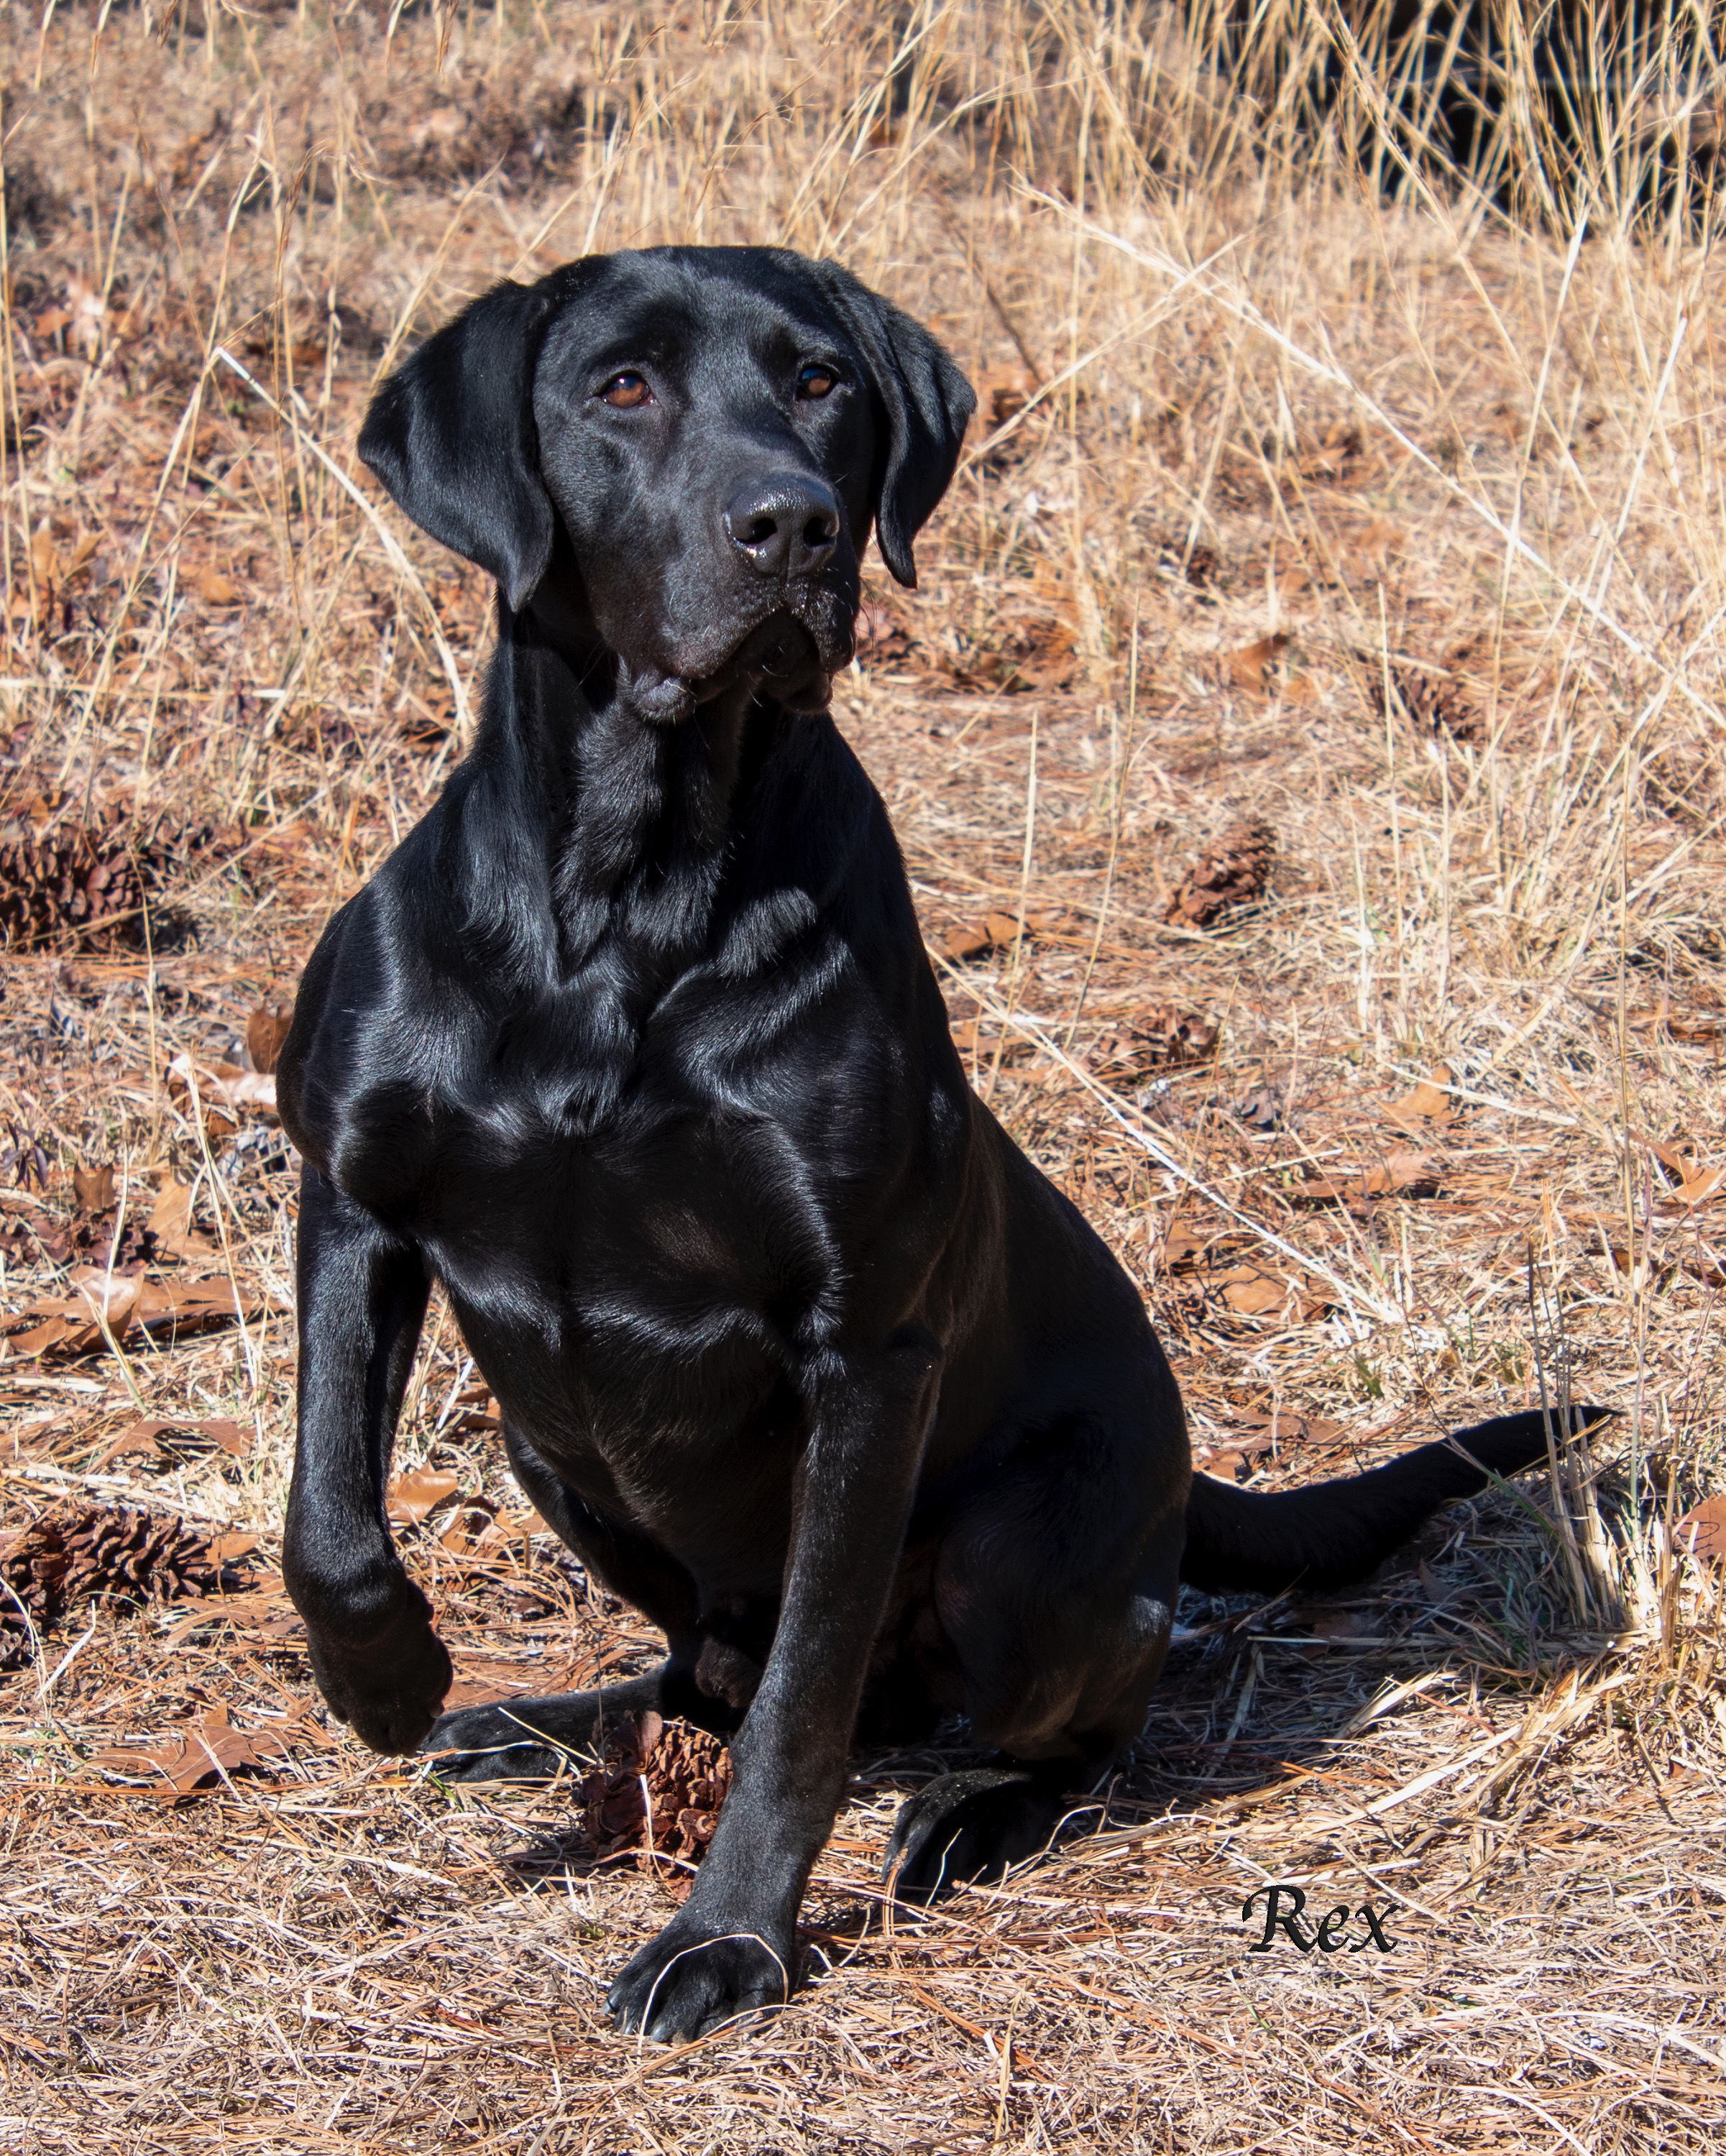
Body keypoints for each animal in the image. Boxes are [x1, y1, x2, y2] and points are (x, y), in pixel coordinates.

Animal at [276, 244, 1613, 2044]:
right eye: (620, 387)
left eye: (821, 382)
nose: (789, 526)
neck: (625, 904)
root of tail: (1193, 1482)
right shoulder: (355, 1198)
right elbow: (326, 1517)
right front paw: (391, 1680)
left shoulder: (868, 1349)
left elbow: (807, 1696)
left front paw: (731, 1940)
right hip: (553, 1450)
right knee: (704, 1664)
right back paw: (537, 1722)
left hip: (1011, 1553)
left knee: (1050, 1714)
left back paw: (971, 1818)